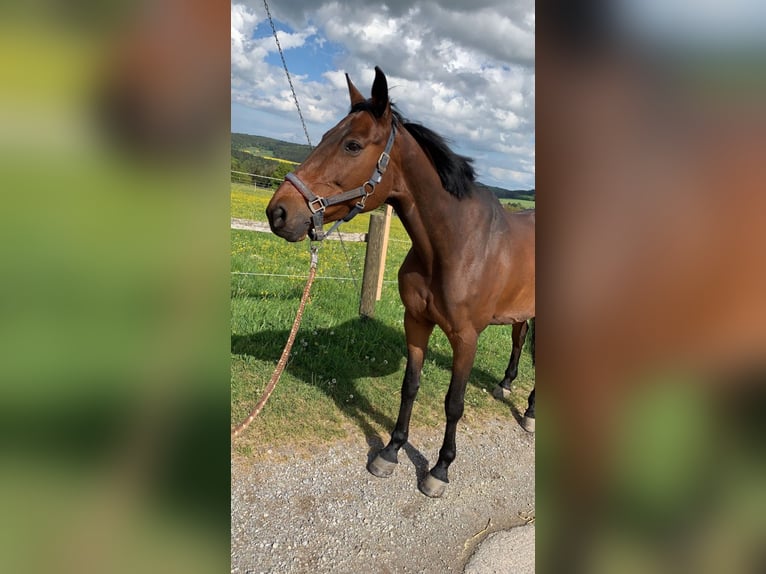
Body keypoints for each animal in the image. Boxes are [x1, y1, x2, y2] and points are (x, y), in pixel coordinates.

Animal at [264, 67, 536, 500]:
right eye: (324, 136)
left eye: (353, 145)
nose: (278, 213)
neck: (455, 245)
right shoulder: (417, 322)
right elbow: (410, 385)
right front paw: (390, 451)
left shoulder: (466, 338)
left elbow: (453, 402)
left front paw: (439, 469)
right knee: (519, 338)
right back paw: (506, 386)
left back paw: (529, 411)